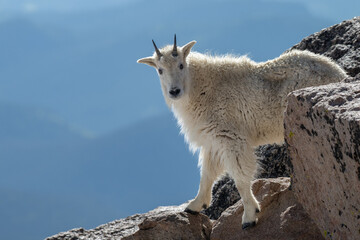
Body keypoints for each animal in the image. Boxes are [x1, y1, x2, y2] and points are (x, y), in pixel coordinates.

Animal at [136, 35, 348, 229]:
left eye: (181, 65)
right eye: (160, 70)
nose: (174, 92)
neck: (201, 88)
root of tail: (340, 75)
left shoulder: (231, 138)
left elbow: (240, 177)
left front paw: (249, 216)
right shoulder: (214, 140)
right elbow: (207, 174)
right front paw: (195, 206)